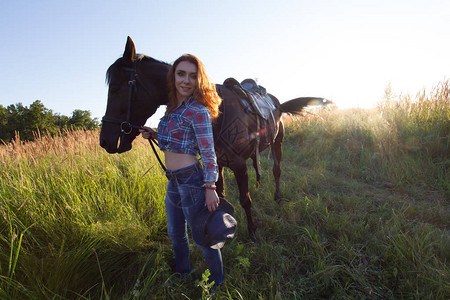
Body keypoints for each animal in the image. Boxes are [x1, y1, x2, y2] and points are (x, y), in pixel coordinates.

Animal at [100, 36, 328, 240]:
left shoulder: (238, 164)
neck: (216, 113)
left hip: (278, 143)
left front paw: (252, 233)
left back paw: (277, 197)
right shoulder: (217, 163)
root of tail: (276, 102)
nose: (105, 141)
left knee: (276, 170)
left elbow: (245, 200)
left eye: (116, 88)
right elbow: (221, 197)